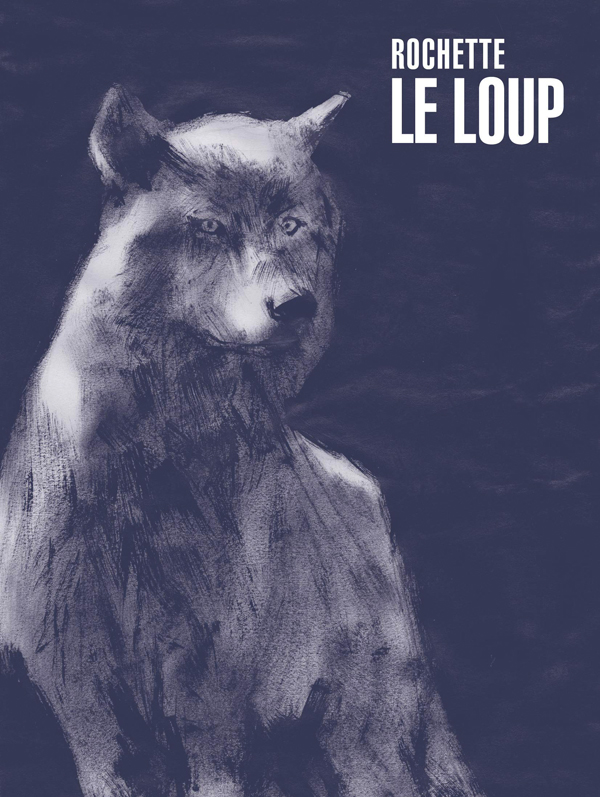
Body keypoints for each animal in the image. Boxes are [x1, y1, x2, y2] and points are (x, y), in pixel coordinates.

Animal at [0, 86, 484, 797]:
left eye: (291, 225)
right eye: (208, 227)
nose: (296, 306)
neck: (154, 469)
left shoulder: (210, 698)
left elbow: (215, 776)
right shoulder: (81, 695)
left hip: (361, 740)